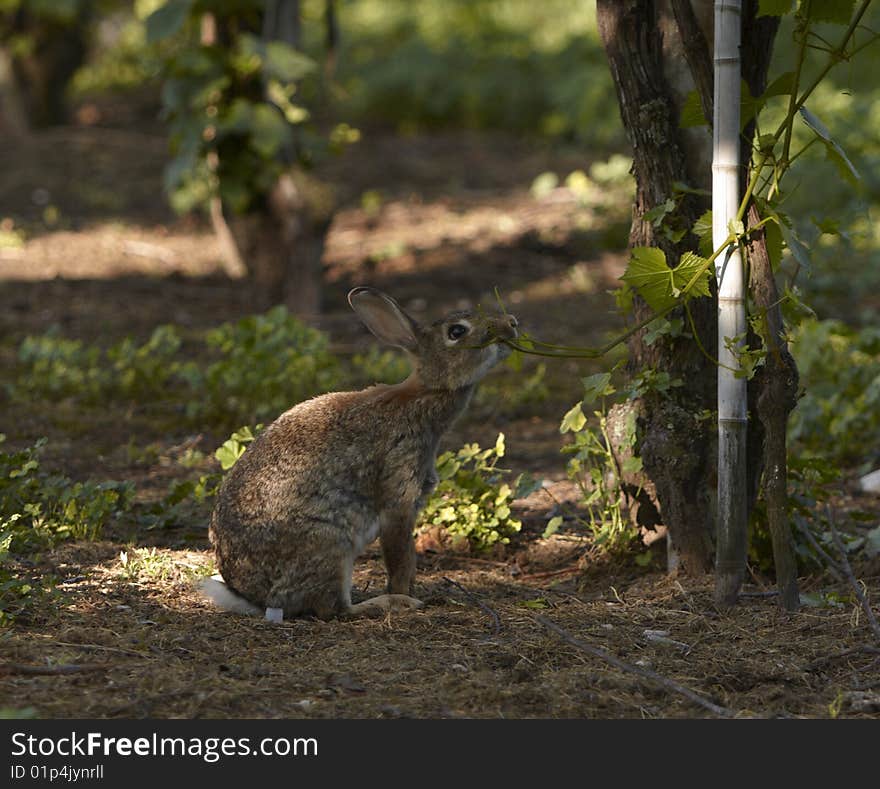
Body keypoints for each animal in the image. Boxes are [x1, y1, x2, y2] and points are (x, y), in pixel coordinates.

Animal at [199, 286, 516, 620]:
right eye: (456, 332)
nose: (512, 323)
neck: (424, 394)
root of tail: (254, 598)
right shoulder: (399, 492)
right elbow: (401, 558)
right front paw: (407, 596)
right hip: (329, 543)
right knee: (333, 608)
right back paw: (388, 603)